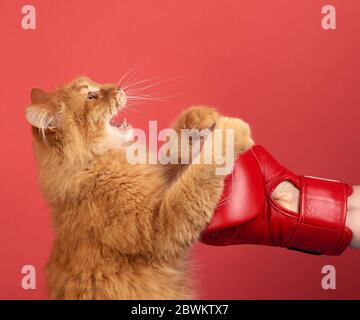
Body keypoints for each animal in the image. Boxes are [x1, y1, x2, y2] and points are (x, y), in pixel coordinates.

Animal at [24, 76, 253, 298]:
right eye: (91, 96)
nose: (117, 87)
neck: (91, 163)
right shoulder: (159, 227)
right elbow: (203, 168)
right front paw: (233, 131)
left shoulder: (161, 181)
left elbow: (175, 151)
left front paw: (196, 117)